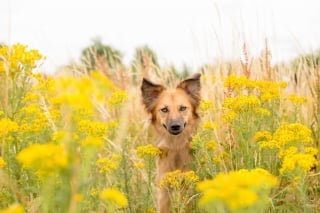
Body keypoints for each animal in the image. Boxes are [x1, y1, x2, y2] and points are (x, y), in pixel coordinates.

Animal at [140, 73, 200, 211]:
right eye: (164, 110)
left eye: (182, 108)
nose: (175, 126)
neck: (176, 147)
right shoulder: (164, 189)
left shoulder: (187, 184)